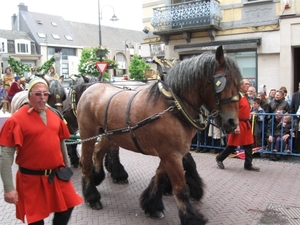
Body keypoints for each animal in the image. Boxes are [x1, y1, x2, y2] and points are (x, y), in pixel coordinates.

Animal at [77, 46, 241, 225]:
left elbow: (159, 178)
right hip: (88, 134)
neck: (174, 106)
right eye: (221, 83)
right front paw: (191, 217)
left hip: (110, 136)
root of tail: (91, 88)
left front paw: (152, 206)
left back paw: (98, 177)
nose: (232, 122)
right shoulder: (171, 154)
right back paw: (92, 196)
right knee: (85, 162)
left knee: (98, 152)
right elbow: (180, 188)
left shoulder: (171, 153)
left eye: (238, 83)